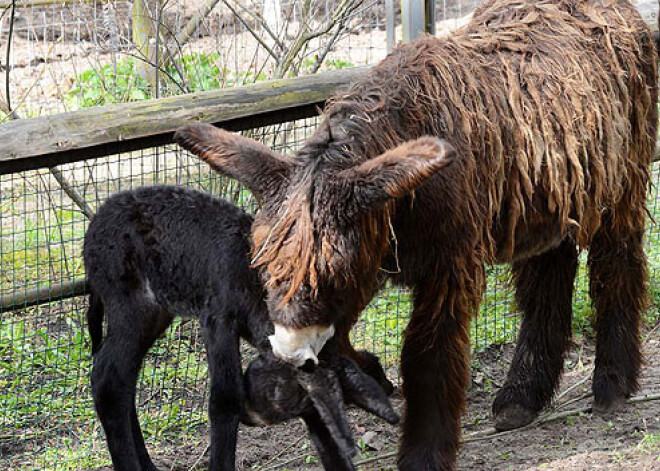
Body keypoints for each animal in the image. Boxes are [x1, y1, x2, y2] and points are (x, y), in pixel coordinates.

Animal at [84, 187, 398, 471]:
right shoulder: (218, 317)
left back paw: (148, 465)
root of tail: (96, 223)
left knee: (124, 379)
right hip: (129, 302)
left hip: (155, 312)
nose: (251, 416)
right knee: (108, 378)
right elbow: (224, 398)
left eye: (301, 406)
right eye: (282, 396)